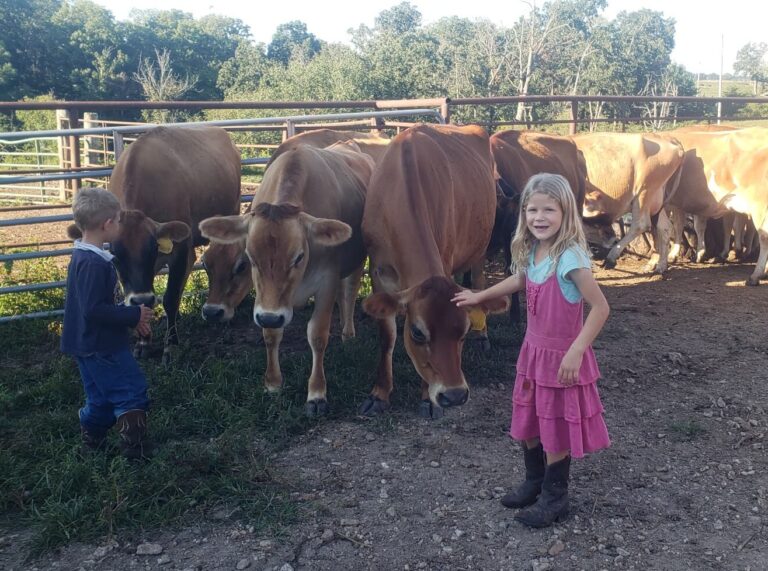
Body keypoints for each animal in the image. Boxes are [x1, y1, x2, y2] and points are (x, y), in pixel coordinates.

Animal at [360, 125, 504, 420]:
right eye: (417, 333)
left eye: (463, 331)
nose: (454, 395)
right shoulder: (378, 272)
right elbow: (387, 335)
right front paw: (379, 393)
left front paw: (427, 398)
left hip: (481, 244)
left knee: (480, 281)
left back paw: (483, 336)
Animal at [576, 132, 684, 274]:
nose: (610, 237)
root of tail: (667, 138)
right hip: (656, 200)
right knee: (664, 227)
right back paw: (660, 266)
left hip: (643, 192)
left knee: (641, 225)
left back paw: (611, 257)